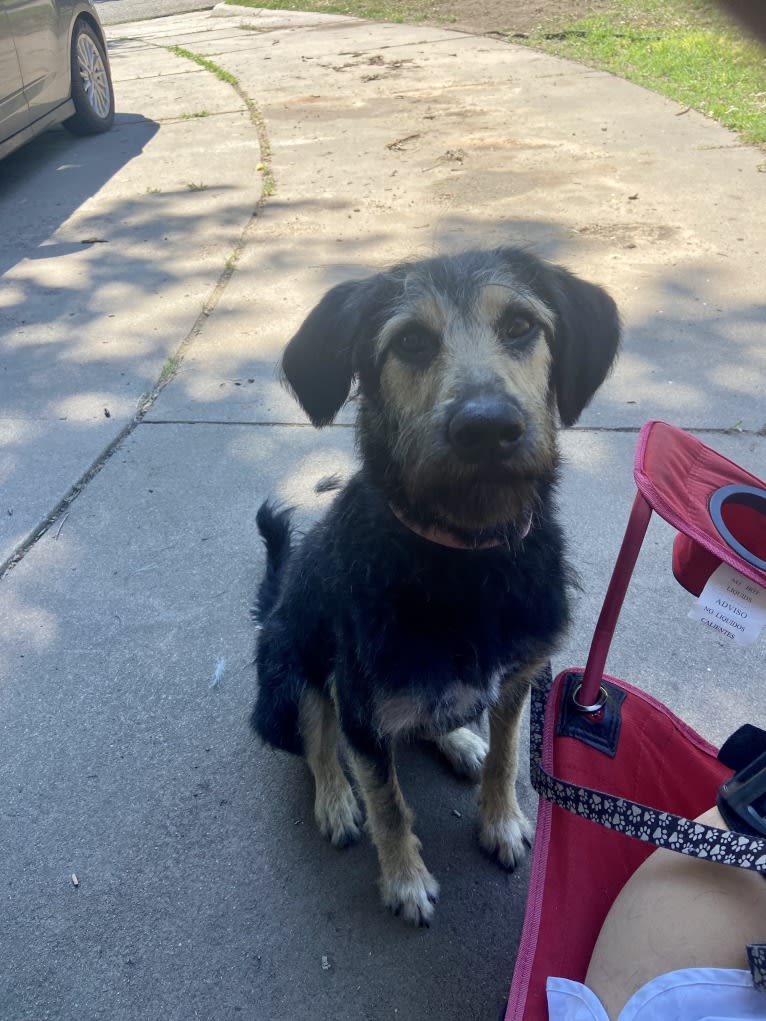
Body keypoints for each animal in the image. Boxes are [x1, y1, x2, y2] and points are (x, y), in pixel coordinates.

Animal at [252, 245, 625, 927]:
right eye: (411, 341)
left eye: (520, 326)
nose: (489, 428)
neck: (467, 556)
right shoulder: (362, 707)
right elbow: (387, 802)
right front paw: (405, 881)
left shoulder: (520, 677)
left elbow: (507, 757)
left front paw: (500, 822)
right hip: (291, 663)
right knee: (319, 735)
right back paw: (334, 800)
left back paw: (457, 739)